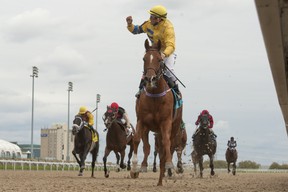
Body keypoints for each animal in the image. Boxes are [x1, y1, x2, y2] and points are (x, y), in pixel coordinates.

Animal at [130, 39, 182, 186]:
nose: (149, 79)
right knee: (148, 147)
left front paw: (171, 167)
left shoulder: (166, 122)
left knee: (168, 146)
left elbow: (166, 144)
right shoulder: (142, 121)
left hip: (174, 126)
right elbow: (137, 140)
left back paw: (163, 177)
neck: (154, 96)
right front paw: (135, 168)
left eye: (159, 60)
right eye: (144, 58)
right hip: (152, 129)